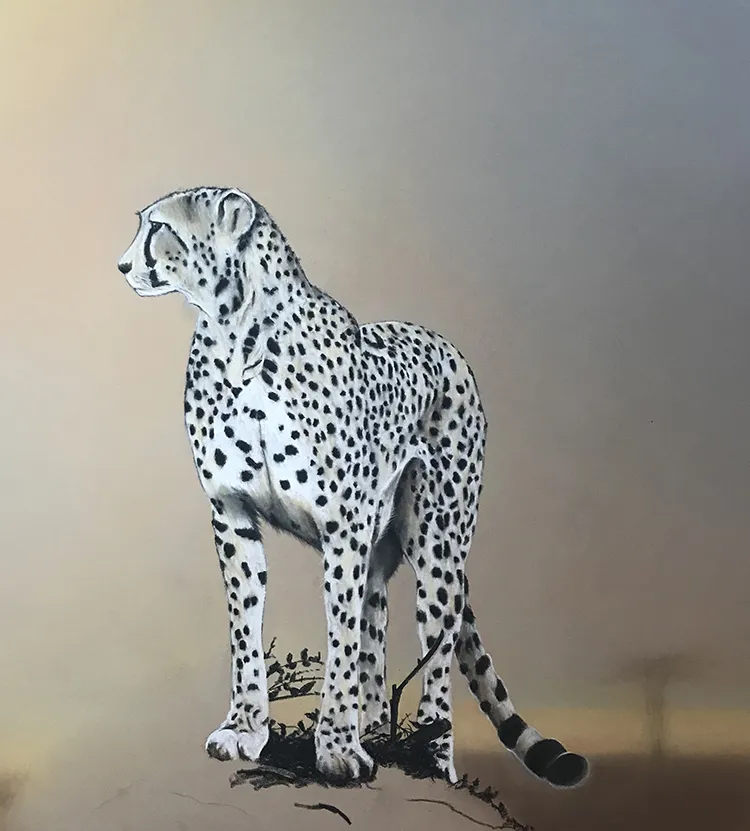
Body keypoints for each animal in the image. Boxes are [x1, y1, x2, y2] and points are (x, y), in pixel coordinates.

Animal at [116, 185, 589, 788]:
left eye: (158, 228)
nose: (122, 265)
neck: (237, 338)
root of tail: (441, 341)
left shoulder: (345, 525)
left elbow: (338, 634)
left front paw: (337, 748)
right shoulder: (231, 512)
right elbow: (247, 625)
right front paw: (245, 729)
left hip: (437, 545)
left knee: (436, 647)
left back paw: (430, 754)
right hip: (383, 547)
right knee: (376, 623)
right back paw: (377, 731)